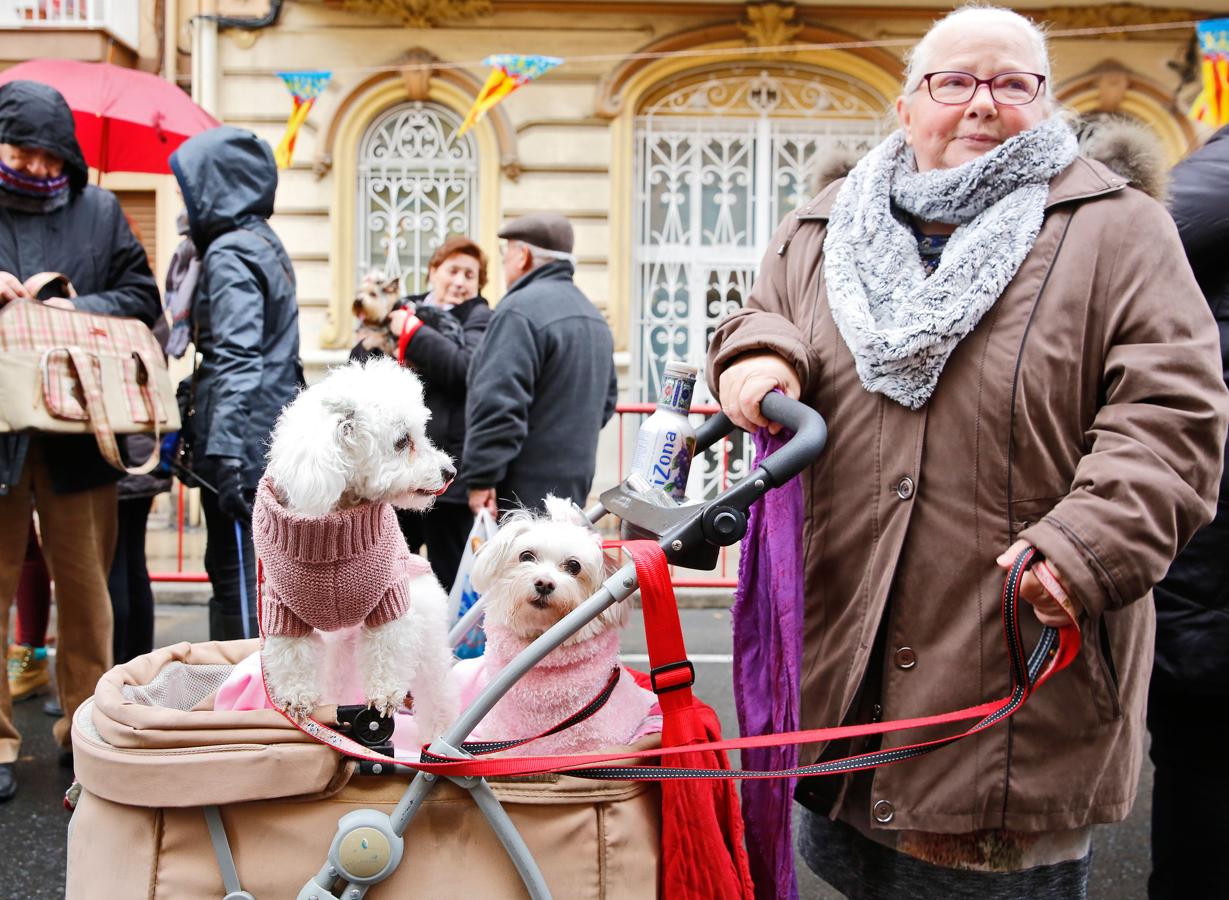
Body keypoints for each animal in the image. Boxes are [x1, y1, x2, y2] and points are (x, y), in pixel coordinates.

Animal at [254, 354, 462, 732]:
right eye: (402, 441)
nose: (449, 472)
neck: (334, 529)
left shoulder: (390, 600)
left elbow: (388, 650)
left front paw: (386, 696)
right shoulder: (281, 609)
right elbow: (293, 656)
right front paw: (297, 698)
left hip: (425, 633)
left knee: (437, 690)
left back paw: (439, 733)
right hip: (339, 648)